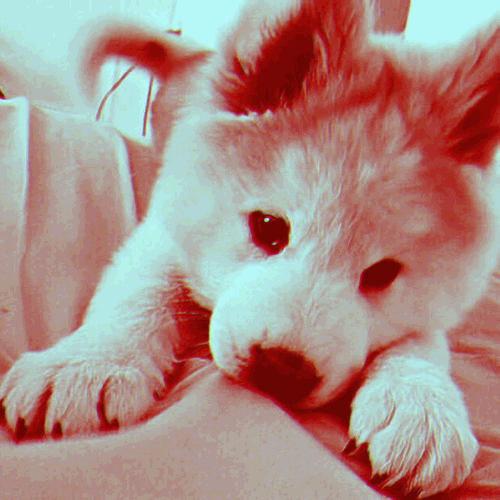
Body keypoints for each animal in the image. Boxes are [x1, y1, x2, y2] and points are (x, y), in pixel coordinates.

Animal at [2, 0, 500, 496]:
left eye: (382, 275)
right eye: (268, 228)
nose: (283, 369)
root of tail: (193, 55)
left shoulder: (435, 310)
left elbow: (422, 342)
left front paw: (422, 407)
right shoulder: (165, 230)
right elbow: (141, 292)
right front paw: (87, 364)